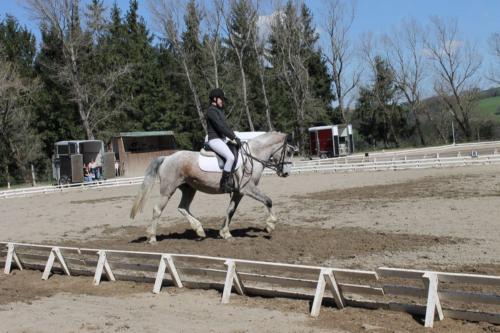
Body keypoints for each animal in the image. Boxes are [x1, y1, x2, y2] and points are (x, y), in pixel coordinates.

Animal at [129, 131, 294, 243]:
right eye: (289, 152)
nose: (286, 173)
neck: (252, 156)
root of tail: (167, 157)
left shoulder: (238, 193)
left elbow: (230, 210)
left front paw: (225, 233)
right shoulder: (247, 189)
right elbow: (268, 201)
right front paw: (270, 225)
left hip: (189, 189)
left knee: (183, 207)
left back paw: (199, 230)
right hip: (167, 190)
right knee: (158, 210)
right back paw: (152, 237)